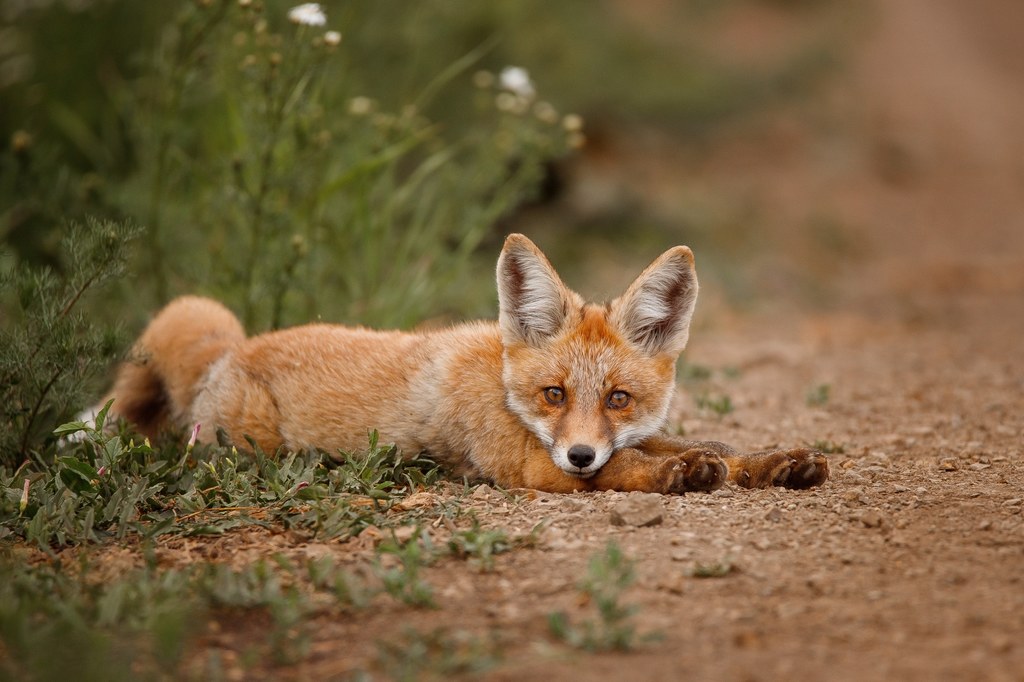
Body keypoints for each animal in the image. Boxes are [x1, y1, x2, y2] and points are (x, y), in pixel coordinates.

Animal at [99, 233, 827, 493]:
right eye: (554, 394)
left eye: (617, 399)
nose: (580, 453)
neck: (500, 390)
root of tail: (233, 350)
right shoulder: (530, 467)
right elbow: (627, 467)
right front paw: (675, 474)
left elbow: (714, 447)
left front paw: (772, 462)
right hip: (247, 441)